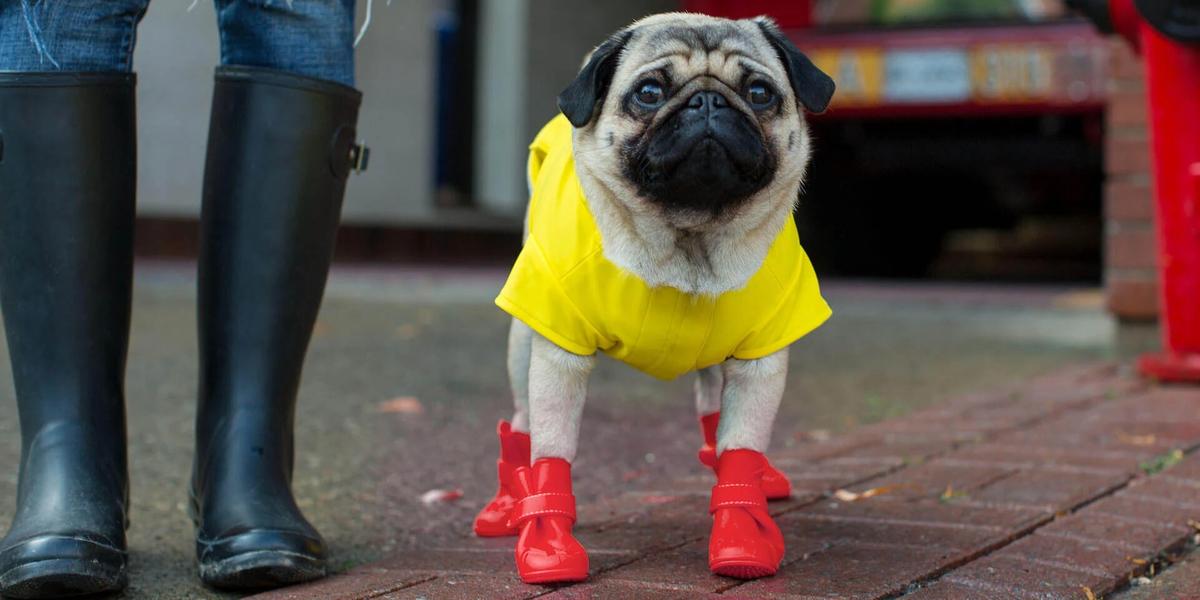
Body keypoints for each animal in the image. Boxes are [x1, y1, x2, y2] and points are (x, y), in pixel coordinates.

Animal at [472, 12, 830, 585]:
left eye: (759, 92)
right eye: (648, 92)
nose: (707, 101)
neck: (688, 232)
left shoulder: (761, 362)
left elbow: (741, 443)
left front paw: (742, 533)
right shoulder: (559, 357)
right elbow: (553, 450)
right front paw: (548, 545)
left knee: (712, 410)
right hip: (525, 341)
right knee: (523, 425)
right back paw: (508, 502)